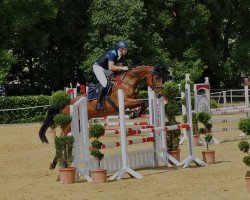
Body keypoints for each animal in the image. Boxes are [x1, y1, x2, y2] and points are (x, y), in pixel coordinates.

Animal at [39, 65, 167, 170]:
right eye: (156, 77)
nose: (160, 94)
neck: (128, 82)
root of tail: (67, 103)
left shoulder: (131, 102)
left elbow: (143, 104)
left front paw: (134, 114)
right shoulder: (125, 101)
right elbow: (143, 103)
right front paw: (134, 114)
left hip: (78, 124)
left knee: (68, 139)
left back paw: (66, 162)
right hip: (68, 124)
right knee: (62, 138)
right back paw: (56, 164)